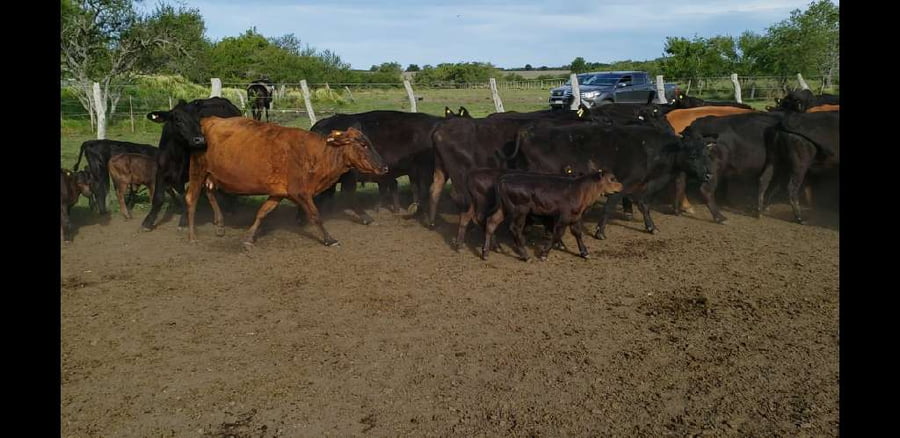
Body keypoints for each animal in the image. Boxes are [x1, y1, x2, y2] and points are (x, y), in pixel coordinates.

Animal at [142, 97, 243, 231]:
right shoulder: (161, 171)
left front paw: (184, 221)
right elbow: (158, 197)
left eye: (198, 119)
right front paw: (148, 222)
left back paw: (231, 206)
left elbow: (188, 197)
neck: (177, 155)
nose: (200, 140)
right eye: (178, 119)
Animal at [185, 117, 388, 248]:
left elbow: (263, 212)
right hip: (197, 170)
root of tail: (207, 121)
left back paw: (219, 225)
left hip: (212, 175)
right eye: (363, 145)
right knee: (191, 199)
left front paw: (249, 237)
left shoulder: (278, 192)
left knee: (210, 191)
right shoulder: (300, 192)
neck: (315, 155)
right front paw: (329, 239)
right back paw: (193, 236)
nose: (384, 167)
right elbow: (315, 215)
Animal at [481, 170, 623, 261]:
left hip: (503, 208)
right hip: (520, 210)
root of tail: (504, 178)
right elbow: (557, 234)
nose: (621, 186)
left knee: (491, 223)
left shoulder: (575, 216)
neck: (581, 190)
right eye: (612, 179)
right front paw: (544, 254)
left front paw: (584, 253)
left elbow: (577, 233)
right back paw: (525, 255)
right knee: (514, 228)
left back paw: (485, 253)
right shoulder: (564, 216)